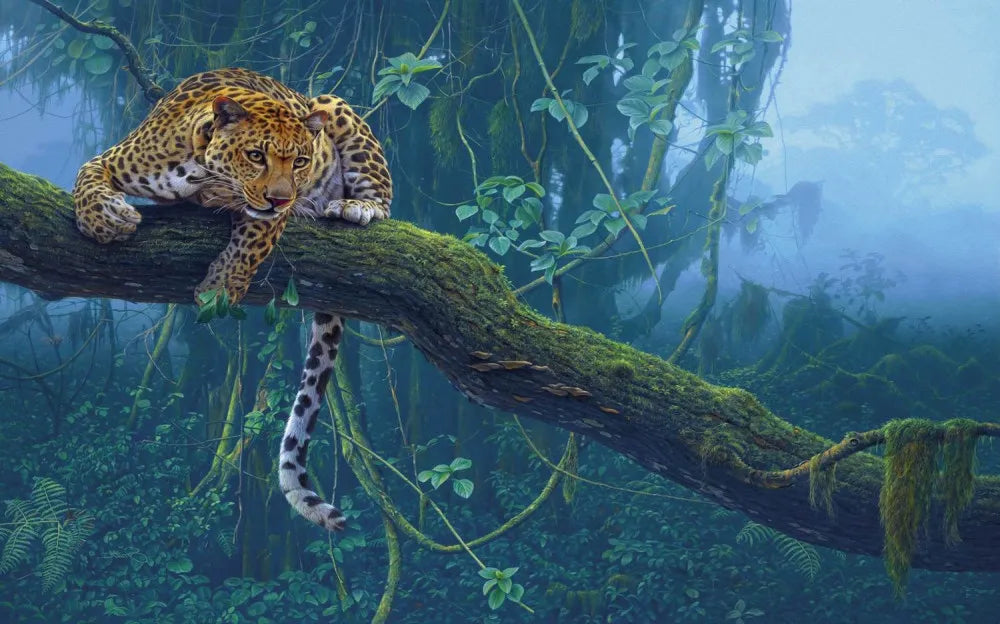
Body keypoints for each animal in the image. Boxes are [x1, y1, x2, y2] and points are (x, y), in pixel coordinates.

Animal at [73, 68, 393, 531]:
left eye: (301, 161)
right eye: (256, 155)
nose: (282, 197)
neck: (199, 171)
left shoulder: (268, 216)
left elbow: (253, 239)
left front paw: (220, 287)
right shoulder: (115, 158)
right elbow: (86, 174)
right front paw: (103, 220)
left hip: (332, 104)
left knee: (383, 200)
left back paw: (355, 206)